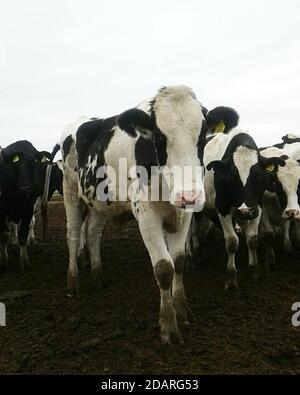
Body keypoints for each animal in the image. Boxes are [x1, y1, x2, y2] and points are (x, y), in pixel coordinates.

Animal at [0, 140, 51, 270]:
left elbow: (23, 234)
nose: (25, 188)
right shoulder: (2, 212)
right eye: (16, 163)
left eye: (34, 162)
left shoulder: (28, 211)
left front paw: (24, 260)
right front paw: (4, 260)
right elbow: (4, 235)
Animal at [55, 85, 237, 344]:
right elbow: (164, 268)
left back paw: (98, 276)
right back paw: (73, 282)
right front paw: (168, 325)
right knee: (72, 234)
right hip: (70, 190)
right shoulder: (147, 216)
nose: (189, 195)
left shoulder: (184, 215)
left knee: (92, 233)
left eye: (202, 137)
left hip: (101, 202)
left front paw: (182, 310)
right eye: (160, 137)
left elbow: (178, 261)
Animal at [204, 131, 286, 290]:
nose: (244, 211)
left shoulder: (257, 205)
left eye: (259, 177)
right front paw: (231, 278)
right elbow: (231, 241)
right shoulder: (222, 206)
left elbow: (252, 239)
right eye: (232, 178)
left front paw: (254, 271)